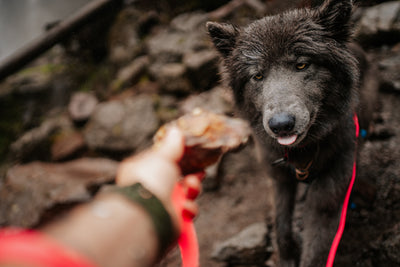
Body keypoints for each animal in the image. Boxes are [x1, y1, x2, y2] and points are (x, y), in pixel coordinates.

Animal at [206, 1, 378, 266]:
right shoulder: (279, 180)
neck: (303, 154)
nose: (281, 124)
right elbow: (282, 226)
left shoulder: (326, 197)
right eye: (257, 75)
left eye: (302, 64)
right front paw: (287, 256)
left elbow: (316, 249)